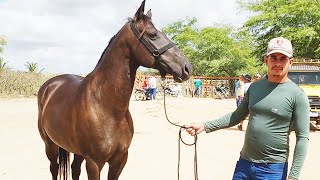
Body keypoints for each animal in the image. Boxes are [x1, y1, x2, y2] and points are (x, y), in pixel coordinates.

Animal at [37, 0, 192, 179]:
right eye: (153, 34)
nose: (187, 67)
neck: (107, 108)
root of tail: (50, 85)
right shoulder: (94, 163)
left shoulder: (120, 160)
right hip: (50, 145)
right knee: (54, 168)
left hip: (77, 151)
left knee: (75, 168)